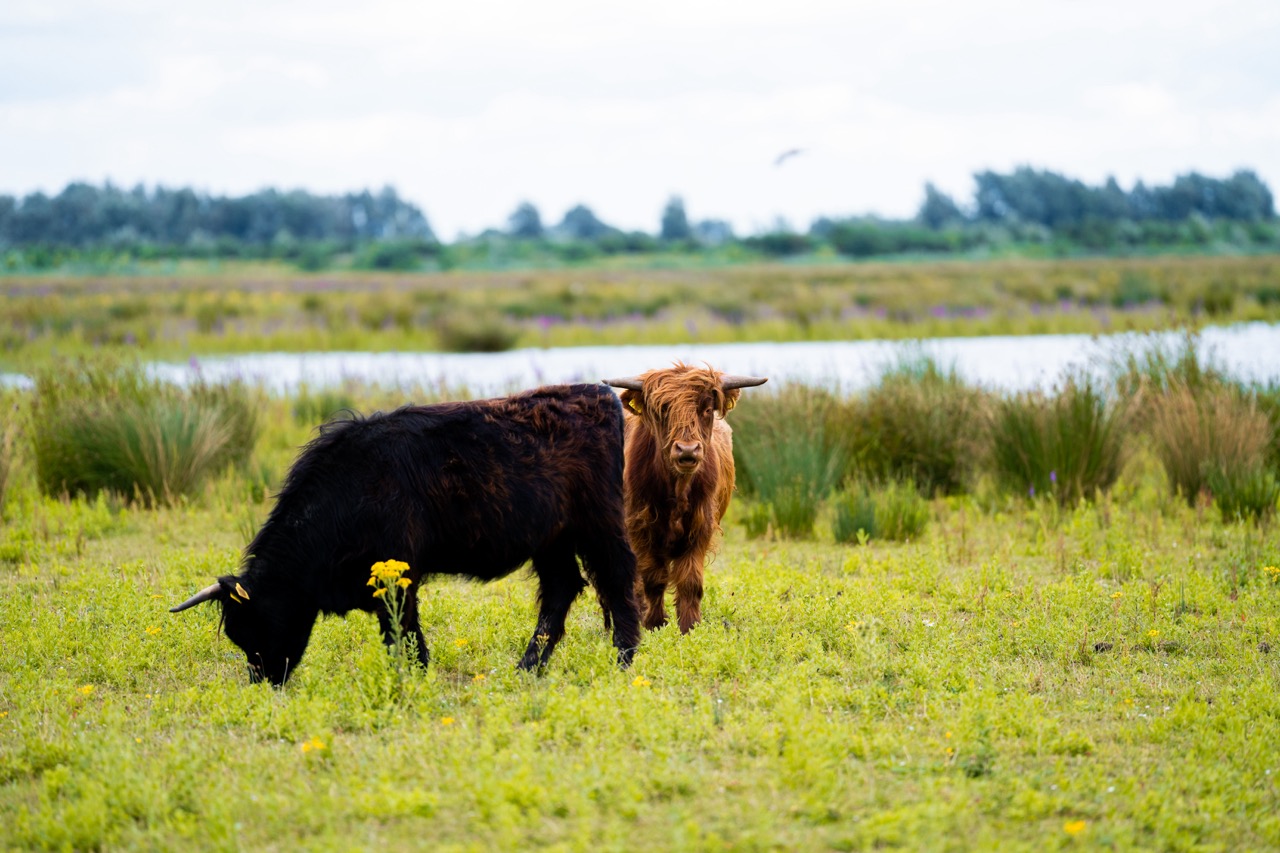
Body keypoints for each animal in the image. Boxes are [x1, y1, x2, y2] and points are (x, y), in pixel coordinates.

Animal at [170, 384, 640, 686]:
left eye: (254, 625)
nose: (264, 681)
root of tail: (599, 394)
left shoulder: (398, 573)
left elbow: (403, 630)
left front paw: (415, 675)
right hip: (550, 539)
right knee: (561, 589)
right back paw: (528, 667)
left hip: (600, 525)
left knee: (617, 581)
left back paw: (623, 660)